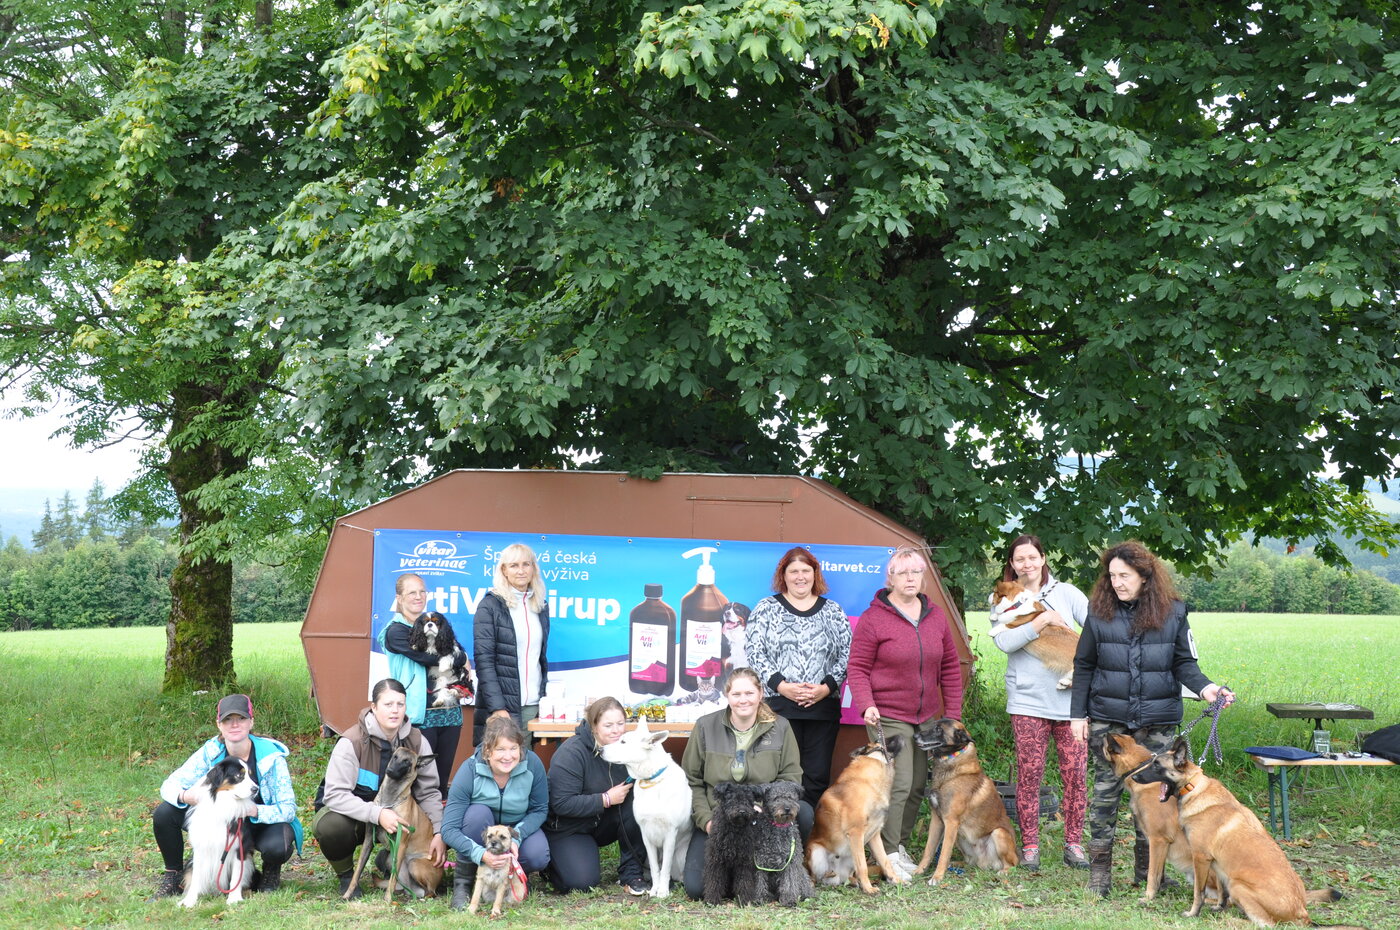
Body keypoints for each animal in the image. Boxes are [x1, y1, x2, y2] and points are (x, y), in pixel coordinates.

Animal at [180, 757, 258, 908]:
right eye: (239, 775)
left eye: (251, 775)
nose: (256, 789)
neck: (224, 803)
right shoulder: (200, 847)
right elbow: (196, 877)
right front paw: (189, 900)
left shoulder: (239, 847)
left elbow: (236, 876)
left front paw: (234, 898)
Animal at [600, 715, 693, 898]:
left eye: (623, 741)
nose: (600, 750)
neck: (652, 780)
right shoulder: (645, 834)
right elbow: (657, 869)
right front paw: (655, 889)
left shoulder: (670, 833)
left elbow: (664, 869)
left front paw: (662, 891)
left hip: (680, 857)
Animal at [807, 736, 907, 894]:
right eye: (880, 740)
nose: (901, 735)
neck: (866, 782)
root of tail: (835, 874)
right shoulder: (856, 833)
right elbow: (863, 866)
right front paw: (869, 888)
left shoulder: (874, 836)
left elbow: (885, 861)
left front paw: (896, 880)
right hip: (816, 852)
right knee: (817, 877)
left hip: (850, 856)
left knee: (846, 877)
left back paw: (852, 881)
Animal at [914, 718, 1017, 884]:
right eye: (933, 725)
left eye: (938, 729)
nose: (915, 736)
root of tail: (984, 863)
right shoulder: (937, 820)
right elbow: (929, 849)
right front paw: (919, 870)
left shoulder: (950, 822)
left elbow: (943, 854)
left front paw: (937, 877)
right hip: (960, 838)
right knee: (969, 861)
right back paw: (957, 864)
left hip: (999, 833)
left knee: (1012, 864)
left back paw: (1004, 871)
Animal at [1132, 738, 1364, 927]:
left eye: (1156, 765)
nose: (1133, 777)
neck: (1193, 787)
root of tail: (1303, 913)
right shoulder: (1216, 865)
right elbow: (1221, 894)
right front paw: (1218, 908)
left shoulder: (1201, 858)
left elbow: (1198, 893)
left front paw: (1193, 913)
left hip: (1238, 886)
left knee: (1266, 924)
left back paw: (1234, 921)